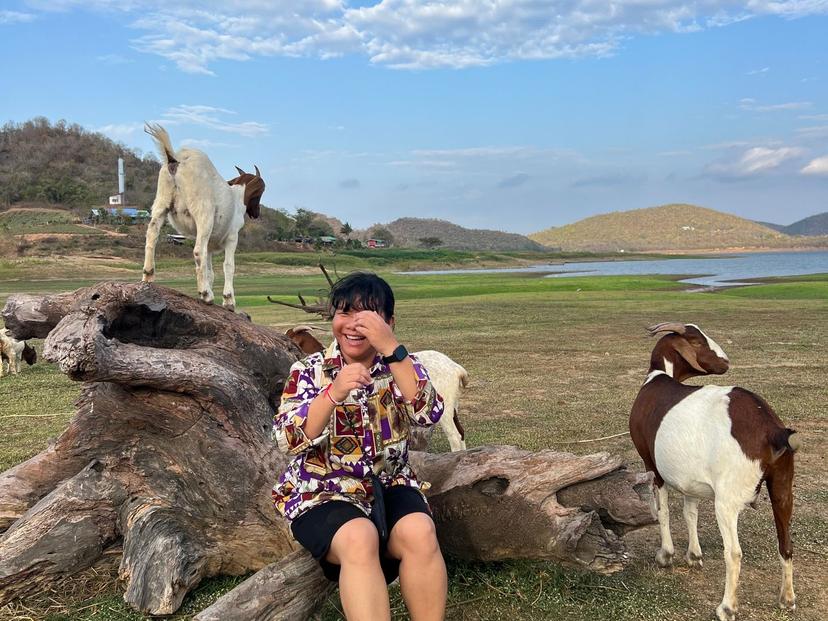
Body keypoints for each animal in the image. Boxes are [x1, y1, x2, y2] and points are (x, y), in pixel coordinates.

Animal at [142, 122, 266, 310]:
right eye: (260, 192)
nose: (256, 213)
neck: (236, 195)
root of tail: (176, 160)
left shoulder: (211, 244)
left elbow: (210, 271)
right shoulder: (232, 236)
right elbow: (228, 265)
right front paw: (228, 300)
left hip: (161, 203)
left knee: (151, 236)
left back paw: (148, 276)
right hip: (203, 213)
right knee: (198, 251)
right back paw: (206, 294)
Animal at [632, 322, 800, 616]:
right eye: (697, 341)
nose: (726, 362)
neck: (658, 378)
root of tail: (773, 431)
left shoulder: (652, 466)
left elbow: (663, 511)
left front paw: (666, 555)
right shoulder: (690, 479)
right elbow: (690, 512)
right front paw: (694, 555)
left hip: (727, 500)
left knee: (733, 552)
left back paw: (727, 607)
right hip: (782, 486)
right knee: (785, 544)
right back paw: (787, 599)